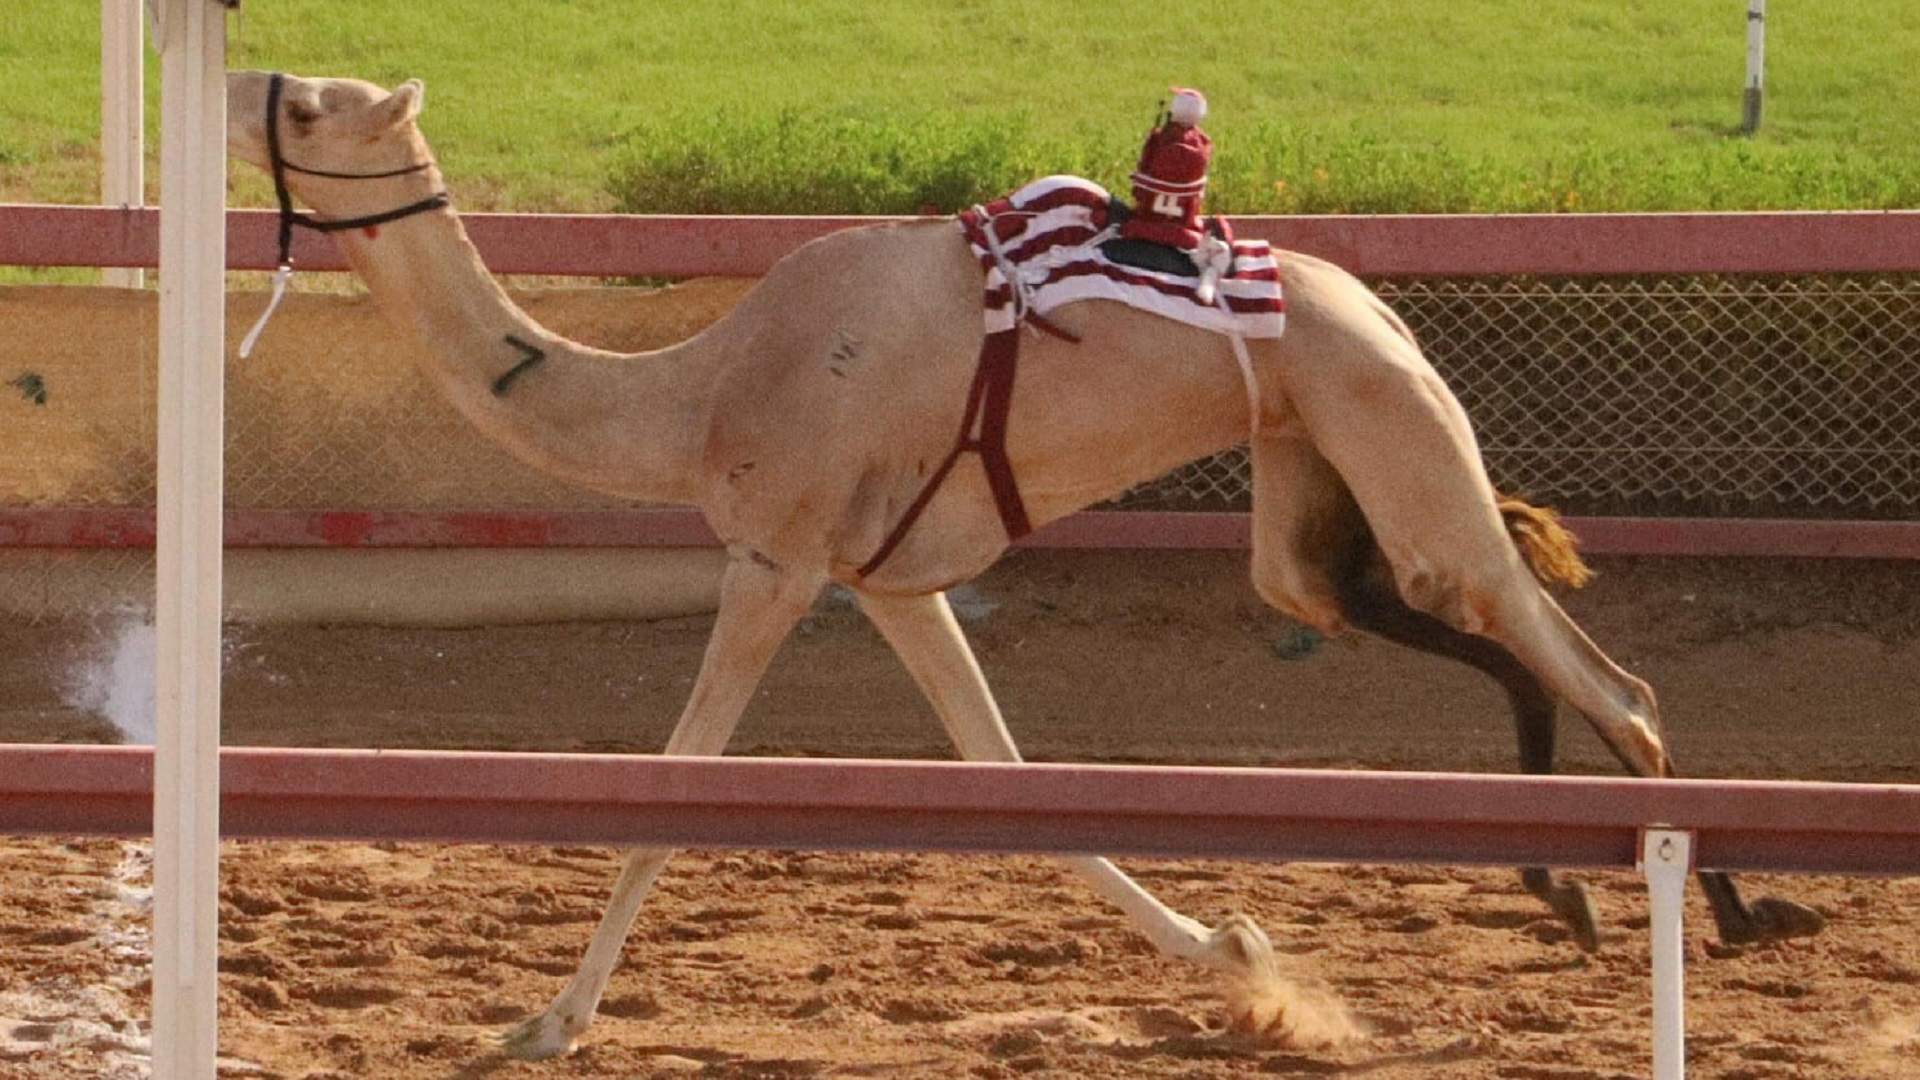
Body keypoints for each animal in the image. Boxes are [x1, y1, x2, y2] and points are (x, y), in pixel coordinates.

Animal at [220, 71, 1812, 1053]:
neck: (695, 396)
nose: (238, 82)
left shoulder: (780, 559)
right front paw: (1242, 960)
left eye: (306, 101)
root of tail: (1384, 309)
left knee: (1602, 674)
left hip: (1402, 438)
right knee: (1372, 607)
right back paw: (1572, 885)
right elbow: (1007, 776)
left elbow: (673, 797)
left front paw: (545, 1023)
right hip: (1313, 480)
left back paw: (1725, 903)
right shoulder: (891, 579)